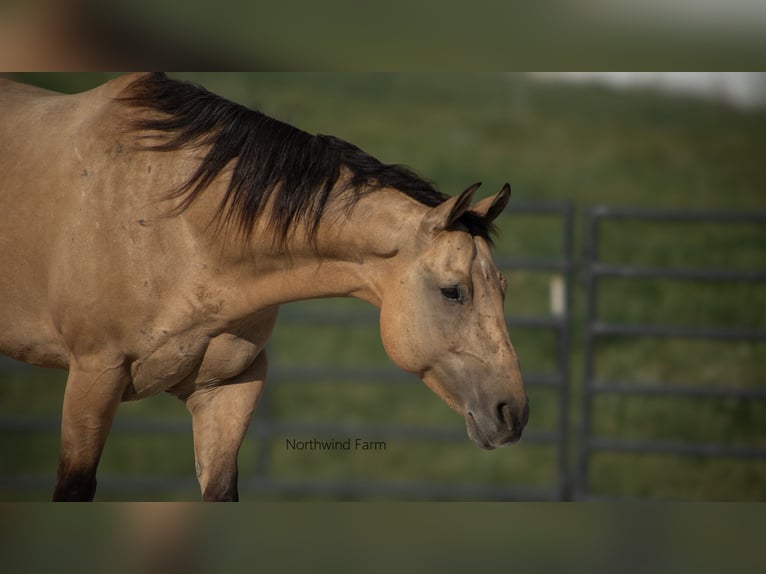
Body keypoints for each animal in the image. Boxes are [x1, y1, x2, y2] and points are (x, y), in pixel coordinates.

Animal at [0, 74, 528, 502]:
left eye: (503, 288)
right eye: (453, 291)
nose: (513, 414)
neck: (175, 227)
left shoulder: (230, 387)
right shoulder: (95, 376)